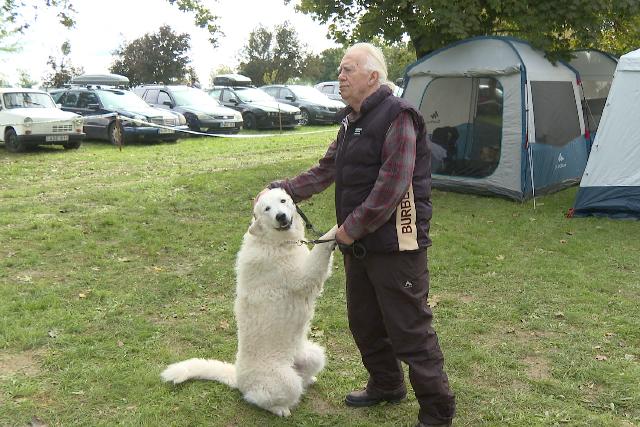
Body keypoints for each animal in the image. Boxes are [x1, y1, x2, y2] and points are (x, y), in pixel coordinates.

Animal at [160, 189, 338, 416]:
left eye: (283, 201)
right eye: (267, 209)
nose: (281, 216)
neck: (273, 242)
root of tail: (237, 378)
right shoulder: (304, 276)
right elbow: (323, 243)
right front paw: (340, 227)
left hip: (315, 354)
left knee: (302, 378)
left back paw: (309, 379)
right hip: (285, 382)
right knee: (258, 398)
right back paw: (279, 409)